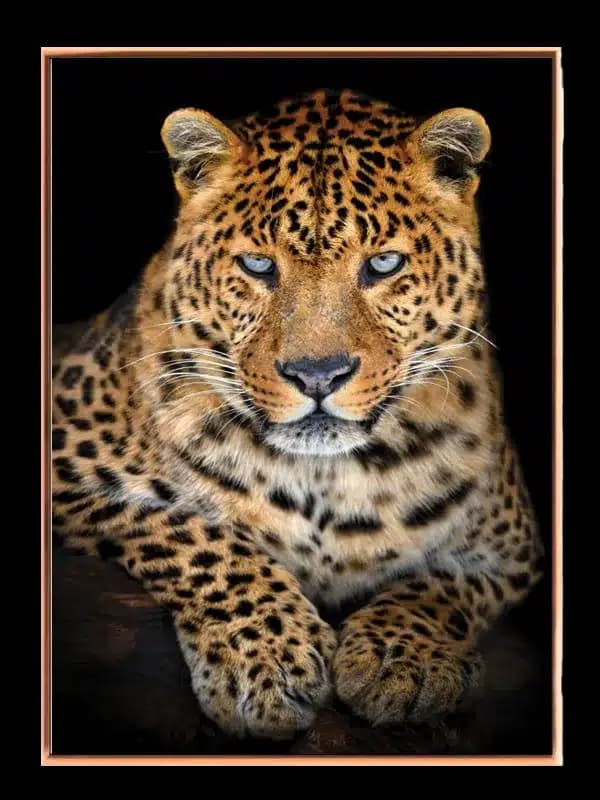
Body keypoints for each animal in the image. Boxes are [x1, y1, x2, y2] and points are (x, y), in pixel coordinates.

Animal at [51, 88, 544, 740]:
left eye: (383, 265)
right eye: (259, 267)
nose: (318, 375)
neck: (325, 480)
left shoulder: (511, 546)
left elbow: (444, 586)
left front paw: (403, 659)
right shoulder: (66, 471)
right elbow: (191, 531)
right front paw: (265, 658)